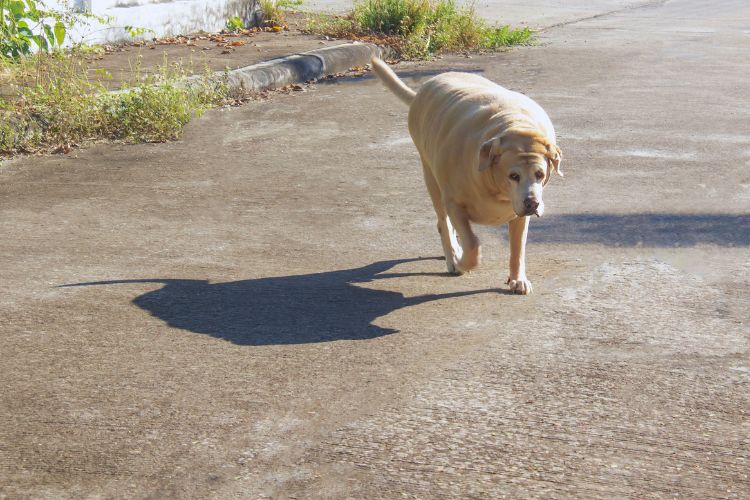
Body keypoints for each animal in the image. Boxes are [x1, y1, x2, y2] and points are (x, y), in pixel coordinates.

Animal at [372, 57, 564, 294]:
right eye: (513, 176)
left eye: (539, 174)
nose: (532, 203)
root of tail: (422, 92)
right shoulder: (455, 204)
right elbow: (472, 245)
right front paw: (462, 262)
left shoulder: (519, 215)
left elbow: (517, 247)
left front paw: (518, 279)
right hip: (431, 177)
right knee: (443, 221)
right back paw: (452, 254)